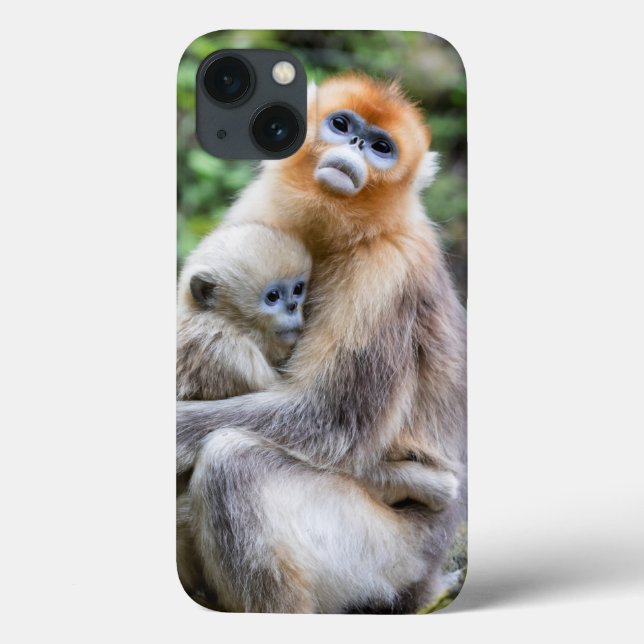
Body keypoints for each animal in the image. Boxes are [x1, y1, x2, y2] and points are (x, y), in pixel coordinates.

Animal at [177, 74, 467, 613]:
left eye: (381, 147)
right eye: (342, 124)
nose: (354, 147)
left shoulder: (387, 270)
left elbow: (329, 419)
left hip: (386, 556)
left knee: (232, 463)